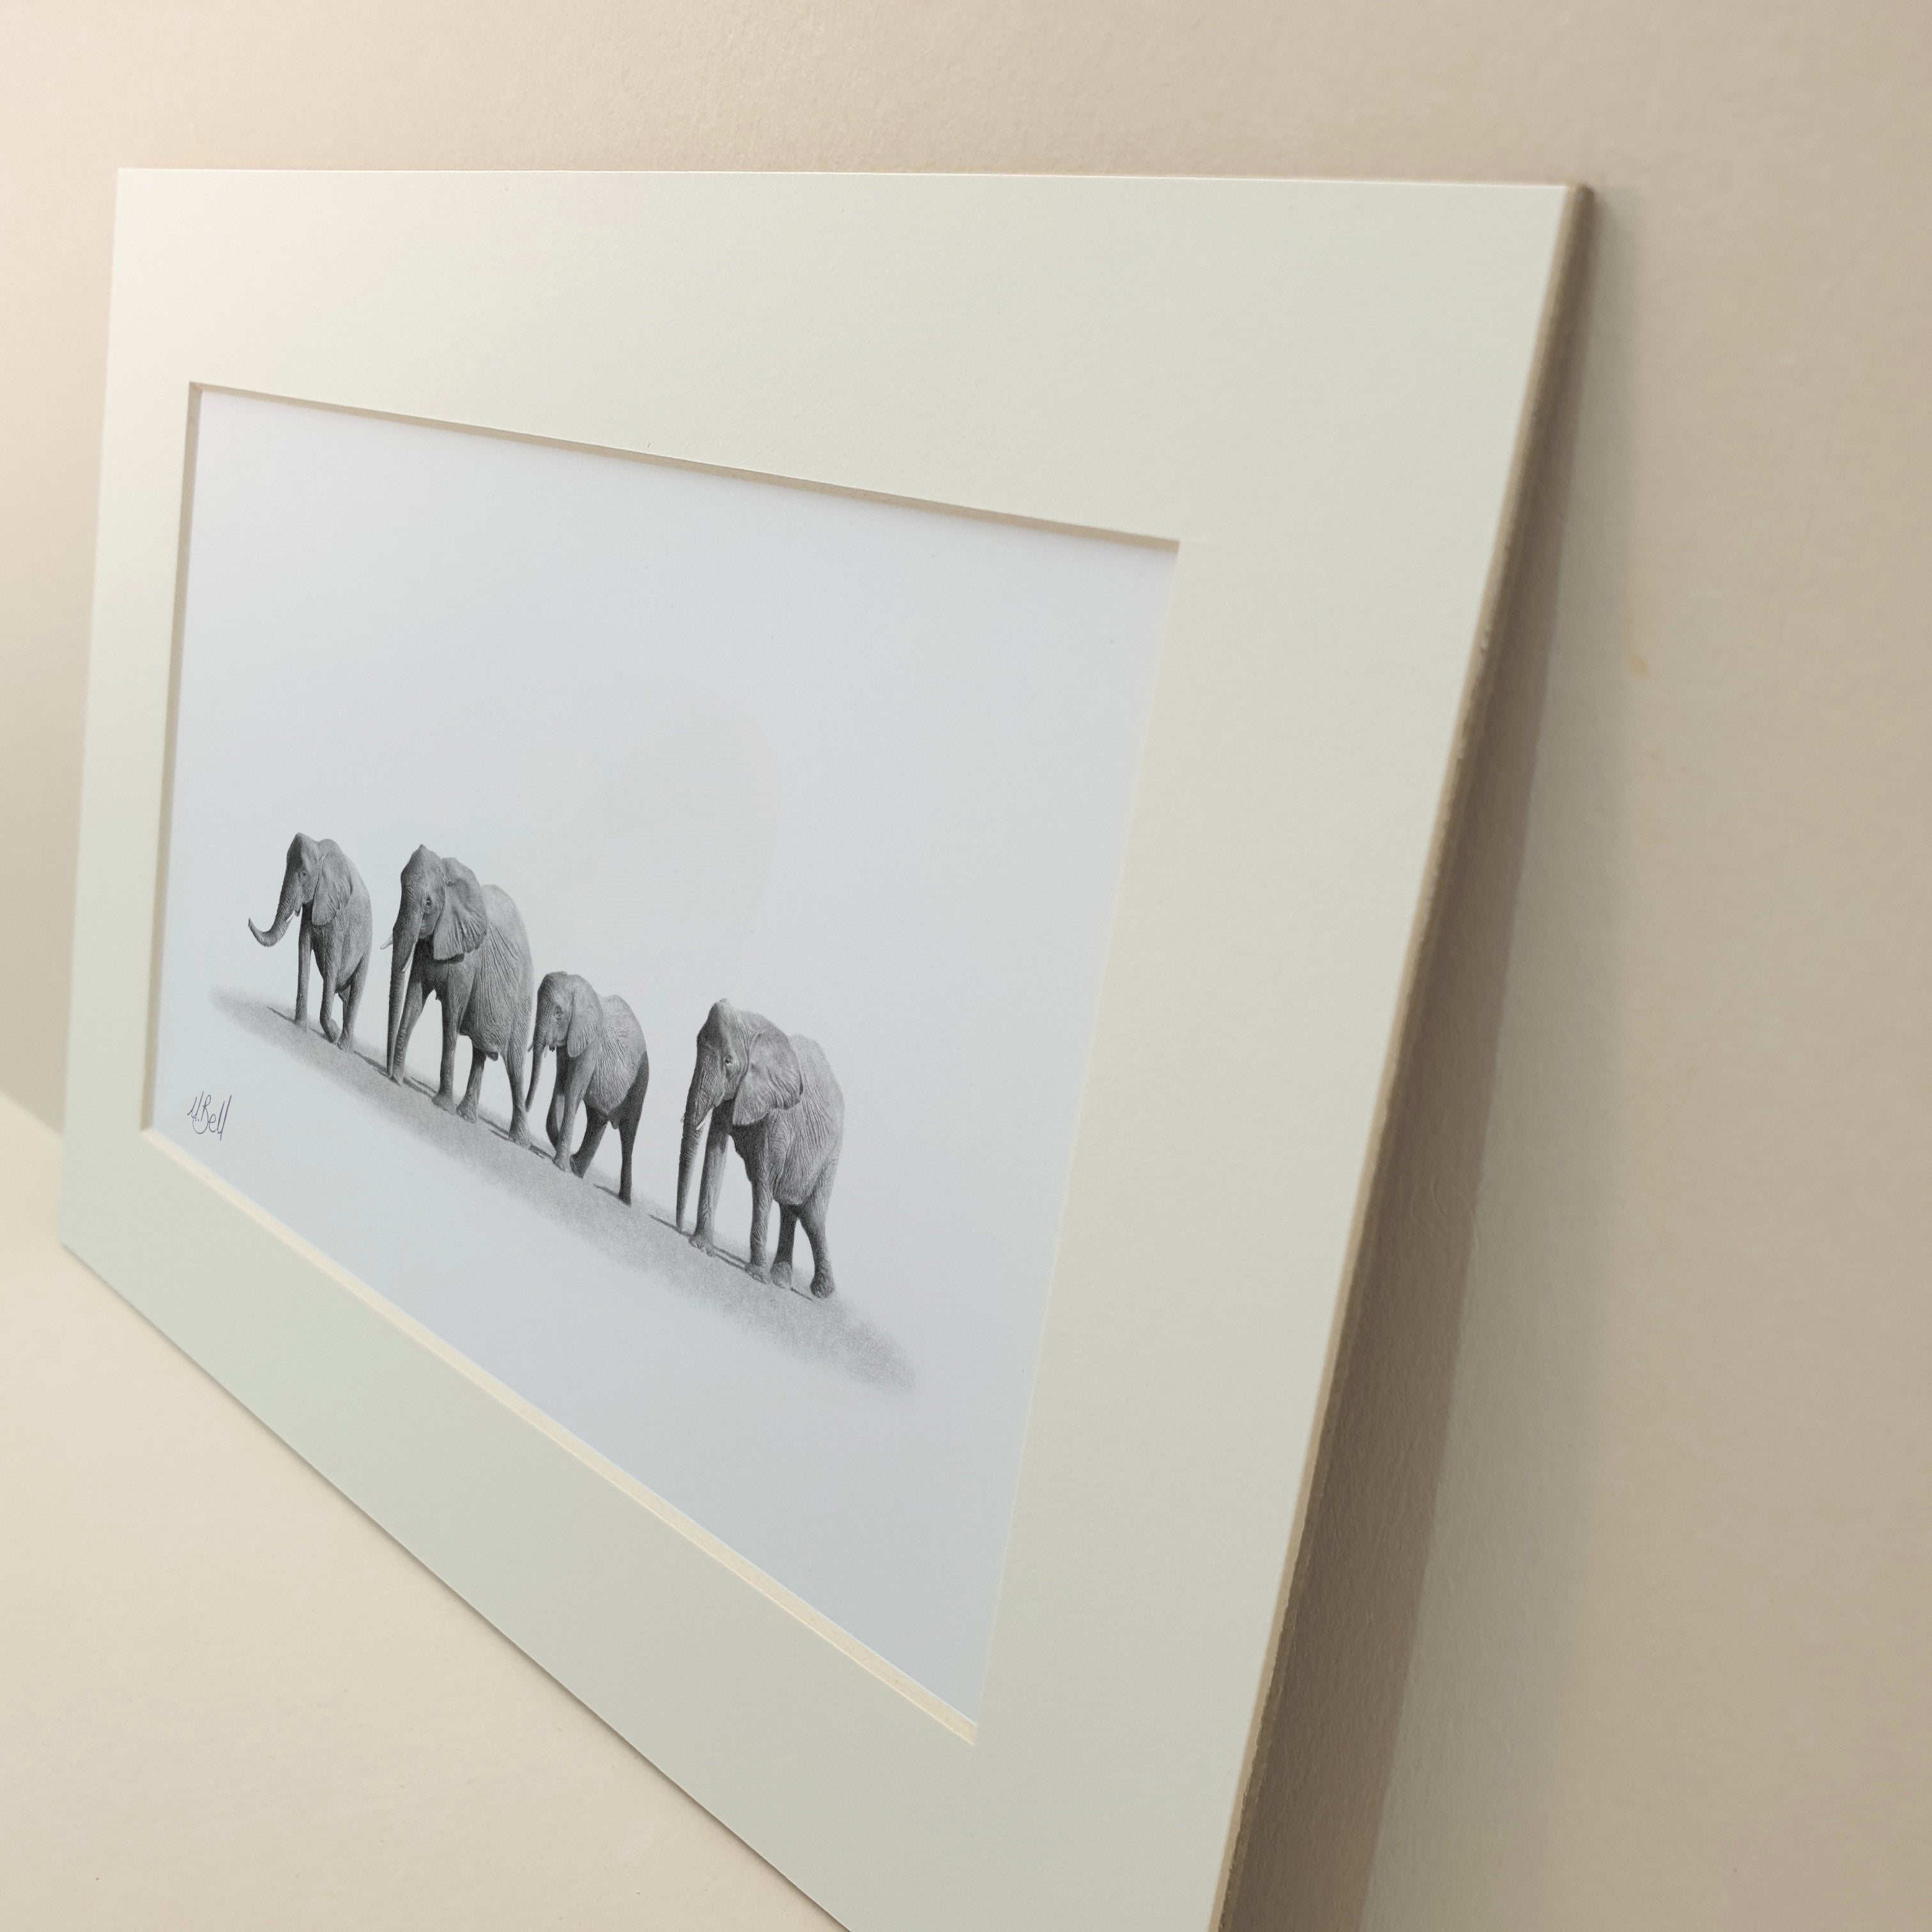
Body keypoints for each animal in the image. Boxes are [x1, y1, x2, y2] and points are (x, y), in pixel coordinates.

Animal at [247, 827, 371, 1051]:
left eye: (304, 874)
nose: (248, 919)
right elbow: (303, 950)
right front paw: (299, 1028)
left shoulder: (338, 916)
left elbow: (332, 964)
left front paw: (332, 1032)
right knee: (347, 996)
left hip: (367, 944)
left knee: (356, 988)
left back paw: (343, 1047)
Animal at [384, 842, 537, 1136]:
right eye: (400, 890)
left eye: (429, 904)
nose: (387, 1074)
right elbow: (414, 1001)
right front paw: (397, 1078)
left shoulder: (467, 960)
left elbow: (451, 1016)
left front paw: (442, 1106)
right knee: (480, 1051)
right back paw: (467, 1116)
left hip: (524, 997)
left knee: (514, 1064)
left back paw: (518, 1139)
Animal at [525, 974, 653, 1197]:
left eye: (558, 1013)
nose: (525, 1107)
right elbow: (561, 1084)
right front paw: (567, 1160)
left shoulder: (590, 1043)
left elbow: (573, 1088)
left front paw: (562, 1165)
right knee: (597, 1120)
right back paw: (577, 1169)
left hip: (641, 1082)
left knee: (628, 1134)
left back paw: (624, 1199)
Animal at [676, 997, 842, 1298]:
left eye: (728, 1062)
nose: (679, 1228)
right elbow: (715, 1154)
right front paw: (700, 1246)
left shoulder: (778, 1114)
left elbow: (765, 1177)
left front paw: (755, 1276)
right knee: (791, 1207)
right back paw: (780, 1280)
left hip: (831, 1153)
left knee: (811, 1214)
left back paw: (821, 1292)